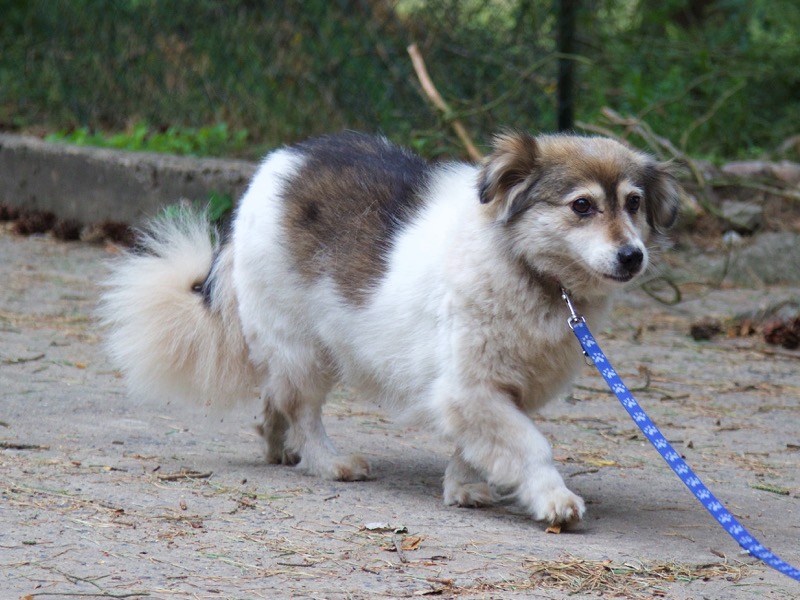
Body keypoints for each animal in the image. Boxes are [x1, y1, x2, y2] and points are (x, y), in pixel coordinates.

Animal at [100, 131, 680, 526]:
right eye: (582, 205)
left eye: (633, 203)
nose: (633, 256)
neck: (527, 269)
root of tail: (277, 164)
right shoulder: (469, 388)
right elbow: (530, 446)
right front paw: (553, 497)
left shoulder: (492, 393)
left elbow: (475, 445)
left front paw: (462, 487)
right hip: (306, 348)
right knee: (302, 408)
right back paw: (328, 462)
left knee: (274, 397)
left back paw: (277, 447)